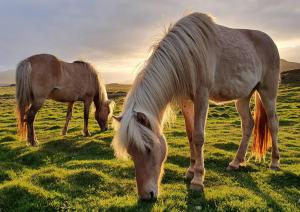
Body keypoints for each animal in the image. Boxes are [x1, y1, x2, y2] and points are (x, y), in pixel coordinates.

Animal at [111, 12, 280, 200]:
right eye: (131, 152)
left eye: (148, 149)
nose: (146, 196)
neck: (187, 54)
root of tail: (270, 41)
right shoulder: (186, 101)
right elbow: (190, 134)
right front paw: (190, 171)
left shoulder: (202, 96)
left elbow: (199, 136)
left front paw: (198, 180)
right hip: (243, 97)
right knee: (248, 124)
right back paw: (236, 162)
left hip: (268, 92)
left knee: (273, 123)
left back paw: (274, 162)